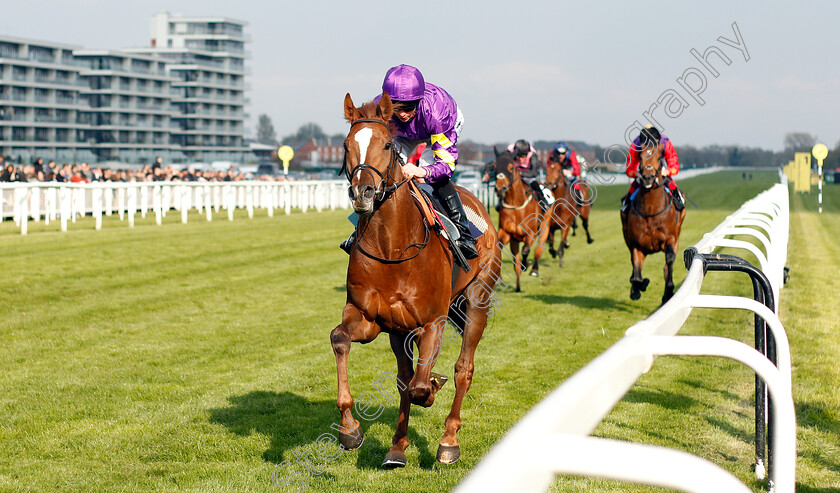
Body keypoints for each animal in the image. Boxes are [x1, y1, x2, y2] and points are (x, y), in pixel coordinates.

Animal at [330, 93, 502, 468]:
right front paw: (350, 430)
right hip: (399, 331)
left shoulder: (433, 321)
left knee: (463, 368)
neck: (392, 248)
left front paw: (434, 386)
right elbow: (340, 339)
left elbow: (423, 386)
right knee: (404, 379)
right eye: (347, 145)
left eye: (387, 144)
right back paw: (397, 447)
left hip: (478, 300)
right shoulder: (368, 318)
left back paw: (449, 440)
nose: (363, 192)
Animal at [492, 148, 552, 290]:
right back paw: (518, 285)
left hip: (545, 226)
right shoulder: (506, 232)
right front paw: (499, 278)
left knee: (538, 249)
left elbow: (526, 251)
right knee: (516, 262)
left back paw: (534, 269)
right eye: (495, 167)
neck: (516, 205)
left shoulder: (530, 233)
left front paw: (527, 265)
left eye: (511, 167)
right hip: (515, 240)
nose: (500, 188)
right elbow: (499, 248)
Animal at [620, 136, 684, 302]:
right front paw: (638, 288)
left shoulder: (670, 238)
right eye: (641, 157)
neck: (651, 210)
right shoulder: (637, 245)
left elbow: (669, 259)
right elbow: (636, 274)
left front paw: (668, 292)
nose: (648, 177)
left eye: (659, 158)